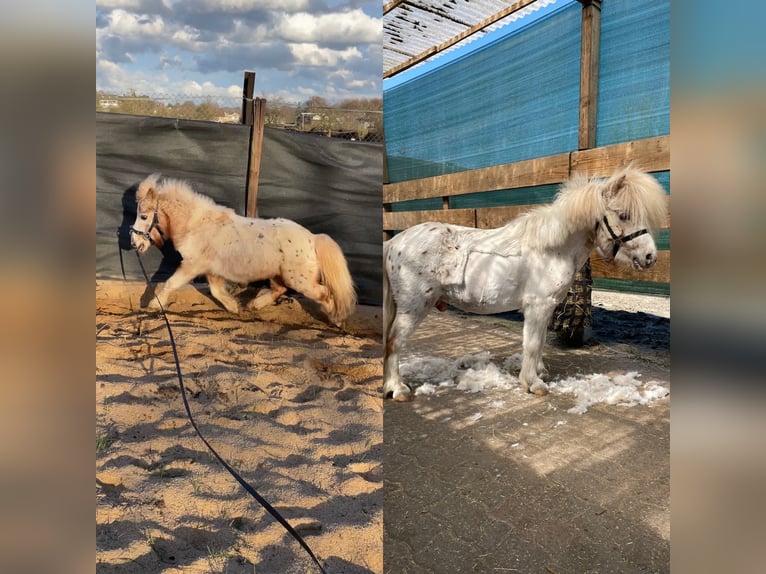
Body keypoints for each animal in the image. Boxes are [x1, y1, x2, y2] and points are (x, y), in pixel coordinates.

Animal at [130, 173, 358, 326]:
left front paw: (153, 305)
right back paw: (254, 305)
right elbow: (216, 290)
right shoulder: (210, 270)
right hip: (278, 275)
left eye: (143, 216)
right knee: (279, 290)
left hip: (300, 281)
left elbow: (170, 283)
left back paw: (337, 320)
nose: (134, 243)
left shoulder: (192, 266)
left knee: (325, 294)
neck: (196, 224)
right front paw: (234, 307)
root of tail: (312, 238)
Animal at [388, 165, 668, 400]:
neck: (551, 249)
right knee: (394, 341)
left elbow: (540, 341)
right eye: (624, 214)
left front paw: (539, 373)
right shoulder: (538, 306)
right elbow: (532, 344)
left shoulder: (546, 307)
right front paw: (533, 383)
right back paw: (398, 389)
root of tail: (394, 242)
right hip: (414, 307)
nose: (650, 257)